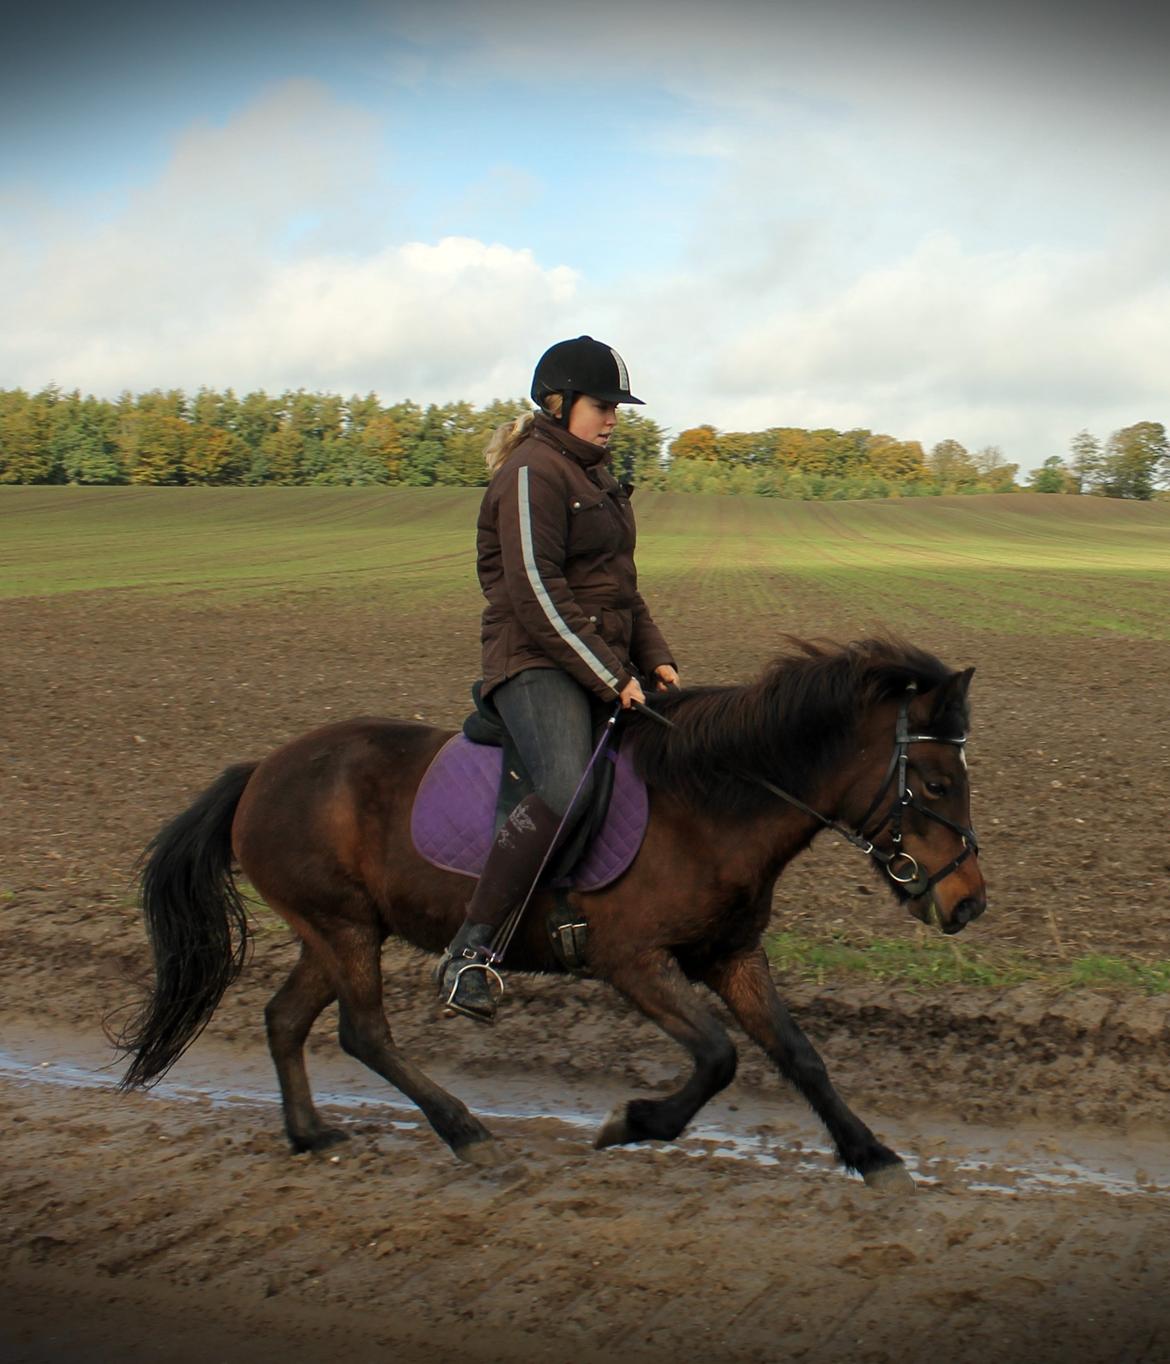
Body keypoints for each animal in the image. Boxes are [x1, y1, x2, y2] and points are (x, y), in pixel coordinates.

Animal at [119, 636, 985, 1191]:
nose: (968, 902)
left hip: (336, 930)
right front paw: (633, 1122)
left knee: (284, 1018)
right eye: (939, 783)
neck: (711, 803)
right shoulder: (631, 961)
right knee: (363, 1033)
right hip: (341, 929)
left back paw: (309, 1133)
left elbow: (799, 1054)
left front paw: (871, 1153)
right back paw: (466, 1132)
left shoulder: (731, 955)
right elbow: (717, 1056)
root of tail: (261, 769)